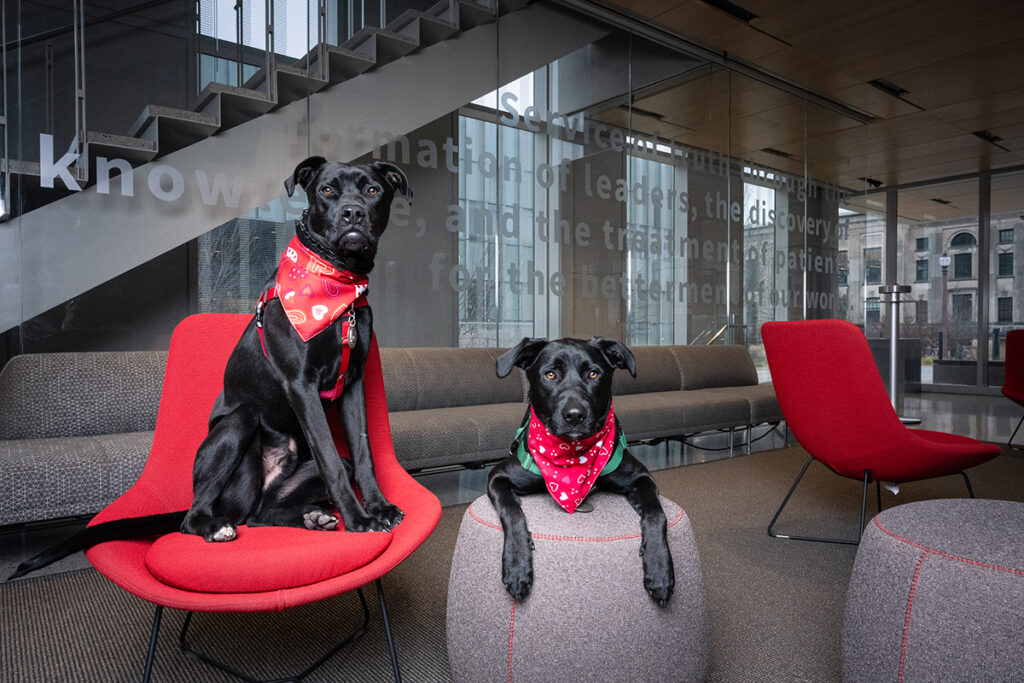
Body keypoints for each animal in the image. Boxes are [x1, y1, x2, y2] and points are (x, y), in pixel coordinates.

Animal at [9, 157, 407, 581]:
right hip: (238, 427)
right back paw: (216, 526)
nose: (353, 214)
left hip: (273, 488)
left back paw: (312, 517)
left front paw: (379, 508)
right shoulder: (301, 385)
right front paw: (358, 519)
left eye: (373, 191)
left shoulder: (353, 384)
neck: (335, 284)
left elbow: (362, 454)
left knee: (261, 513)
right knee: (202, 516)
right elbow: (331, 460)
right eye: (328, 191)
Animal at [485, 335, 671, 602]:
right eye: (550, 374)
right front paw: (517, 565)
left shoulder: (642, 477)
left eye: (593, 374)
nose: (575, 415)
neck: (571, 457)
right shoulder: (497, 476)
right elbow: (511, 511)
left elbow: (657, 514)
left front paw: (660, 570)